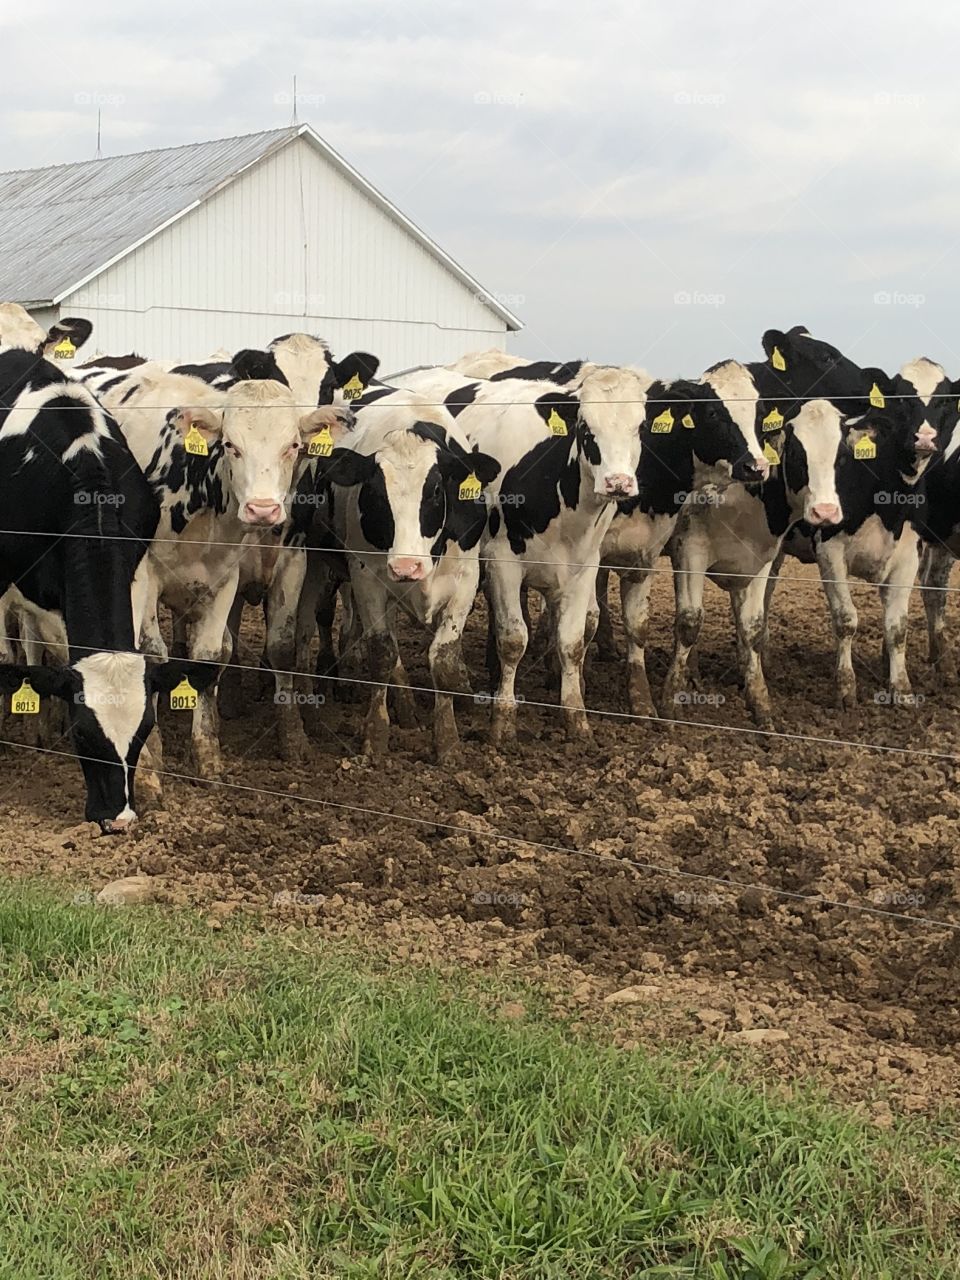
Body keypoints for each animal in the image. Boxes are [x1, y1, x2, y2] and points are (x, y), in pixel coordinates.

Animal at [96, 366, 354, 785]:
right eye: (231, 445)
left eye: (293, 445)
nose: (263, 509)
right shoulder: (143, 575)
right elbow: (150, 654)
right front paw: (149, 762)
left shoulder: (232, 577)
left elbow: (219, 654)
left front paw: (211, 754)